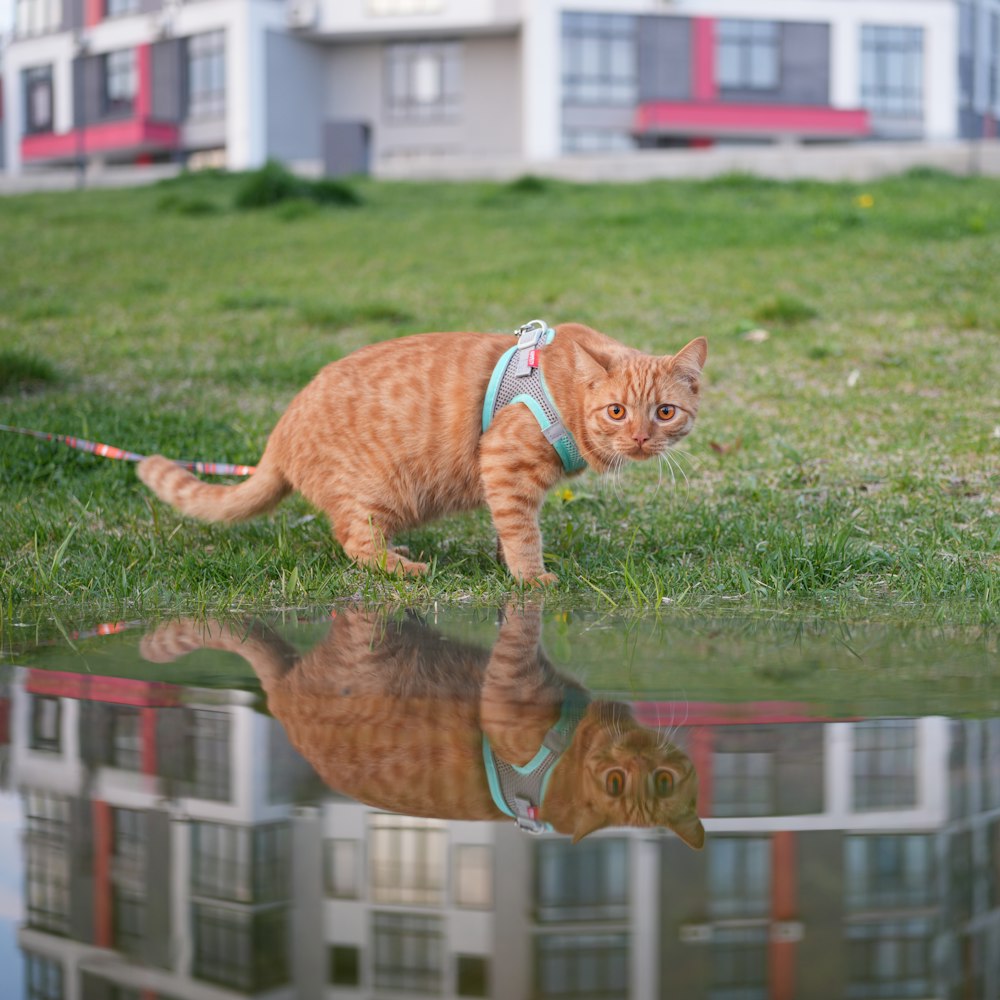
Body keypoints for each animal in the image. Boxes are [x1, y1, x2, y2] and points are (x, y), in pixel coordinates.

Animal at [139, 320, 704, 584]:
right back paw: (403, 567)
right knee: (354, 542)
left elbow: (509, 528)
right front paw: (530, 576)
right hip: (377, 492)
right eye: (617, 411)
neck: (562, 389)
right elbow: (523, 532)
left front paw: (506, 560)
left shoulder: (509, 483)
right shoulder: (505, 463)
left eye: (664, 412)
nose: (640, 438)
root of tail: (280, 431)